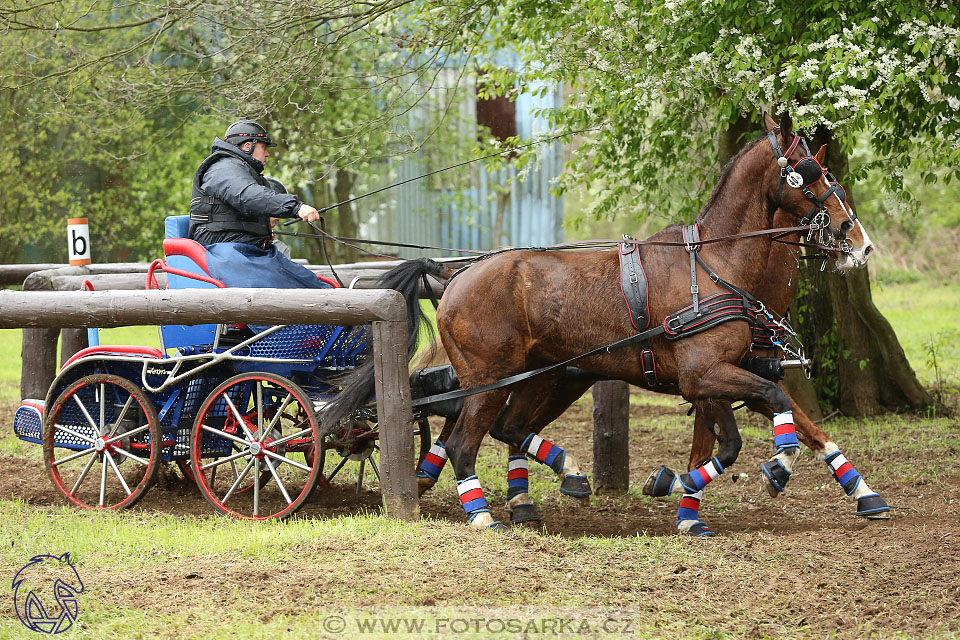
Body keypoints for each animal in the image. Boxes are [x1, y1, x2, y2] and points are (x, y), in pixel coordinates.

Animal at [324, 114, 876, 528]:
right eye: (810, 173)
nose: (859, 241)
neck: (715, 268)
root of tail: (455, 273)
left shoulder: (715, 377)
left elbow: (748, 434)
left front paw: (687, 497)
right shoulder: (705, 374)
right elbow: (769, 412)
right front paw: (774, 469)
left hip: (539, 378)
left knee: (502, 429)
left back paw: (544, 485)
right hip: (490, 378)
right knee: (464, 440)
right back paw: (481, 513)